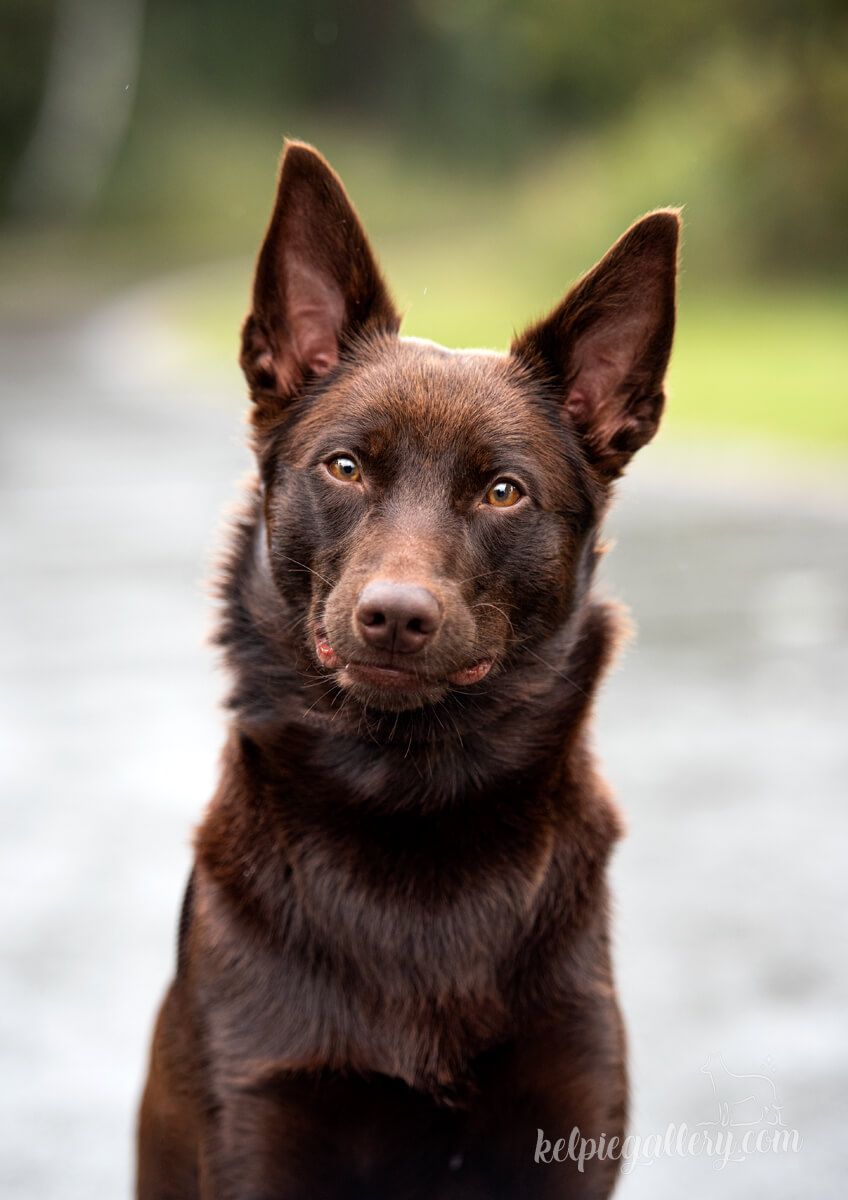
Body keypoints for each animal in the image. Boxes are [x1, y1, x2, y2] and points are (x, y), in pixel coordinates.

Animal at [139, 142, 681, 1200]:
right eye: (346, 468)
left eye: (504, 491)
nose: (394, 617)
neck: (409, 797)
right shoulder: (263, 1109)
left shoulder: (569, 1117)